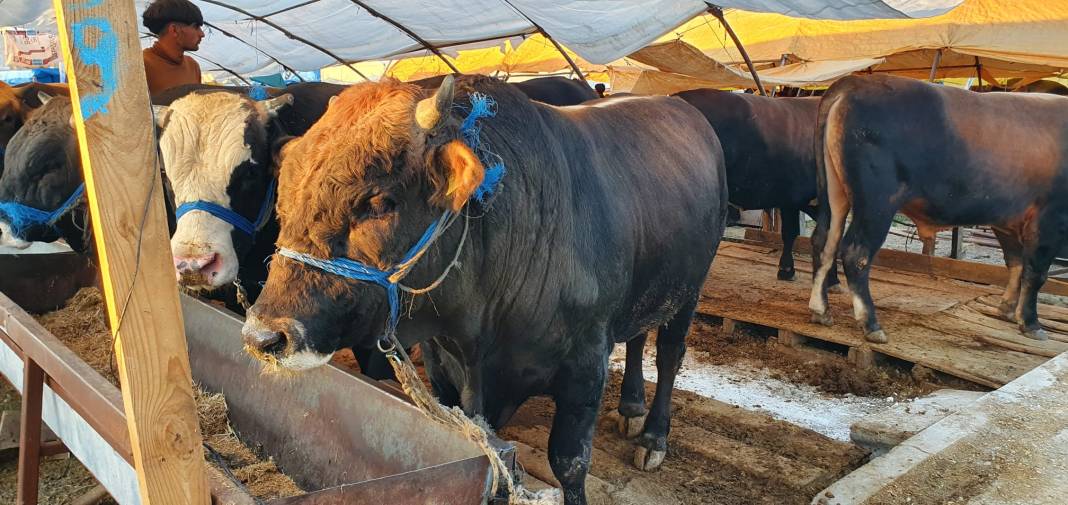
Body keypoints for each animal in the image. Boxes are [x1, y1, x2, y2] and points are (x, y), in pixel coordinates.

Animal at [241, 75, 726, 503]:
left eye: (378, 202)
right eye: (284, 192)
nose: (263, 337)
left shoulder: (586, 365)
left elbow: (569, 463)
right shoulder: (443, 364)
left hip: (690, 290)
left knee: (669, 354)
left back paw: (654, 436)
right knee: (640, 336)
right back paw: (631, 407)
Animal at [807, 74, 1068, 341]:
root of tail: (854, 82)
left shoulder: (1007, 219)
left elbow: (1015, 264)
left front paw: (1006, 309)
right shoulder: (1050, 217)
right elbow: (1035, 273)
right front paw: (1030, 322)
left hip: (835, 196)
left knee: (823, 242)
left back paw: (820, 310)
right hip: (877, 203)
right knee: (855, 253)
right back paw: (871, 324)